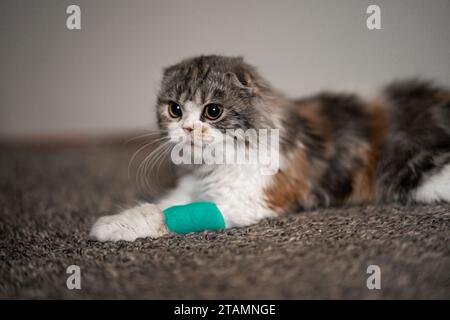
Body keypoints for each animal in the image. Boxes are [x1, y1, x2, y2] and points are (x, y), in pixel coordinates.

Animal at [89, 55, 450, 241]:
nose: (188, 128)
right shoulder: (193, 188)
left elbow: (164, 214)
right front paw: (117, 220)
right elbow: (159, 205)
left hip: (415, 174)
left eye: (212, 111)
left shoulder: (246, 198)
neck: (217, 164)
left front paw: (107, 228)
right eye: (175, 110)